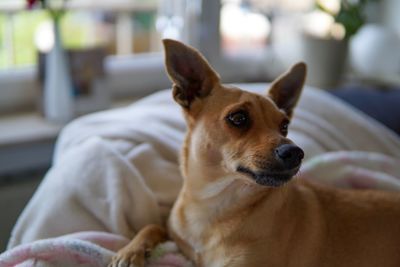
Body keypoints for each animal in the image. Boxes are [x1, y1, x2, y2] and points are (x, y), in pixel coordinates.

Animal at [110, 39, 400, 267]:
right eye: (238, 118)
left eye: (284, 126)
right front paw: (130, 251)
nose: (295, 152)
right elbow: (153, 225)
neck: (215, 206)